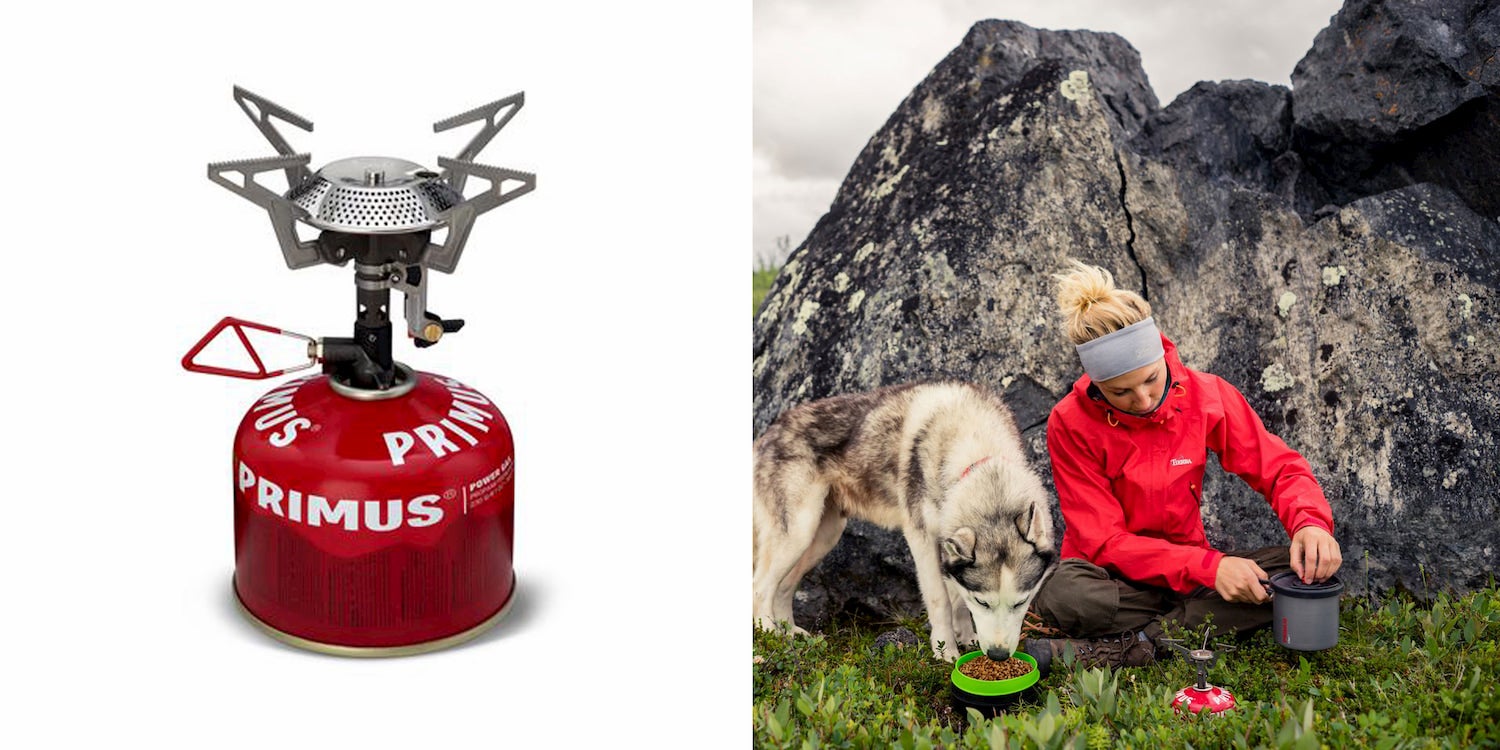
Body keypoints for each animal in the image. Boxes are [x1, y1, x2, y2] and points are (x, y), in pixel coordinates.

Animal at [750, 384, 1056, 660]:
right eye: (983, 601)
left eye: (1021, 601)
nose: (998, 655)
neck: (975, 451)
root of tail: (768, 432)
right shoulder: (921, 540)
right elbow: (940, 600)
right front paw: (945, 651)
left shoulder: (949, 550)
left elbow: (957, 598)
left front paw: (966, 638)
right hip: (798, 534)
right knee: (760, 586)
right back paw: (770, 633)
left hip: (823, 538)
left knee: (784, 587)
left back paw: (790, 633)